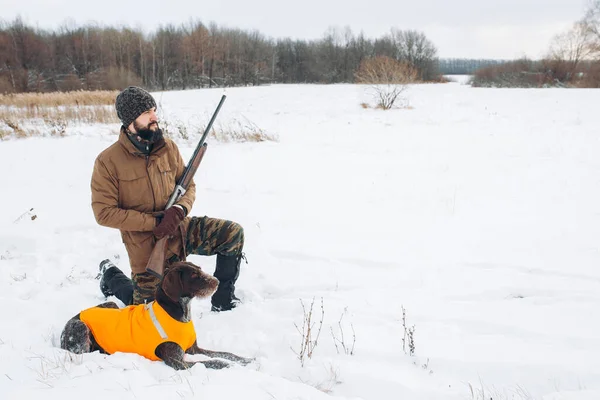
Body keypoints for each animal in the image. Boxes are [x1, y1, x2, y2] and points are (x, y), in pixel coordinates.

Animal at [59, 260, 251, 370]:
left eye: (199, 269)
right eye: (194, 275)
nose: (217, 281)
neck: (178, 313)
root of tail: (76, 316)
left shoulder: (194, 349)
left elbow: (226, 353)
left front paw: (246, 360)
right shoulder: (177, 362)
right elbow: (208, 362)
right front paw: (227, 365)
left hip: (111, 305)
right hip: (80, 327)